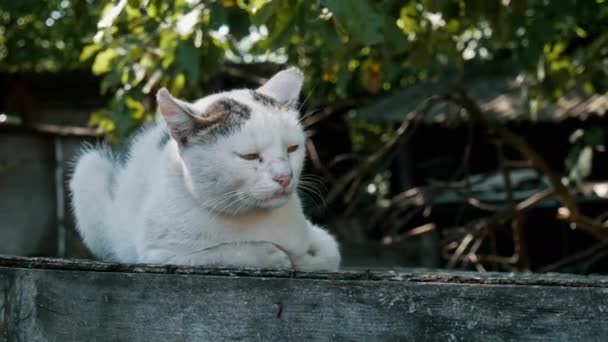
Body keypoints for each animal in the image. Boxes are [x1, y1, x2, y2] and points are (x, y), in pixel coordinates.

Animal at [71, 67, 342, 272]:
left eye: (292, 148)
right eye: (250, 156)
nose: (284, 177)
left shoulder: (318, 238)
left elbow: (330, 254)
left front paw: (302, 260)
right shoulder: (160, 255)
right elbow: (220, 254)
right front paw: (274, 256)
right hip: (88, 167)